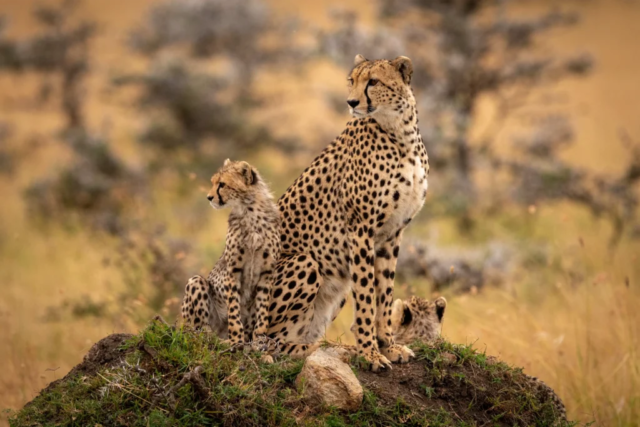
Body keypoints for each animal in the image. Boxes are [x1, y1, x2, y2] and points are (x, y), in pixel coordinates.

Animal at [180, 159, 280, 350]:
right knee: (196, 332)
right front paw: (236, 341)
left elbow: (262, 310)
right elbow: (234, 309)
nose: (209, 197)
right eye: (213, 182)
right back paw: (217, 339)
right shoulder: (233, 271)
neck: (250, 211)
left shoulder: (267, 273)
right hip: (196, 284)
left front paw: (259, 340)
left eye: (222, 184)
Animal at [261, 54, 430, 371]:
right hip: (305, 263)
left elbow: (384, 293)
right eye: (352, 80)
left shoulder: (393, 233)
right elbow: (365, 294)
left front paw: (388, 345)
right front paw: (370, 353)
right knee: (264, 337)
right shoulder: (360, 227)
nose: (351, 102)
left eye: (373, 81)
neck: (399, 133)